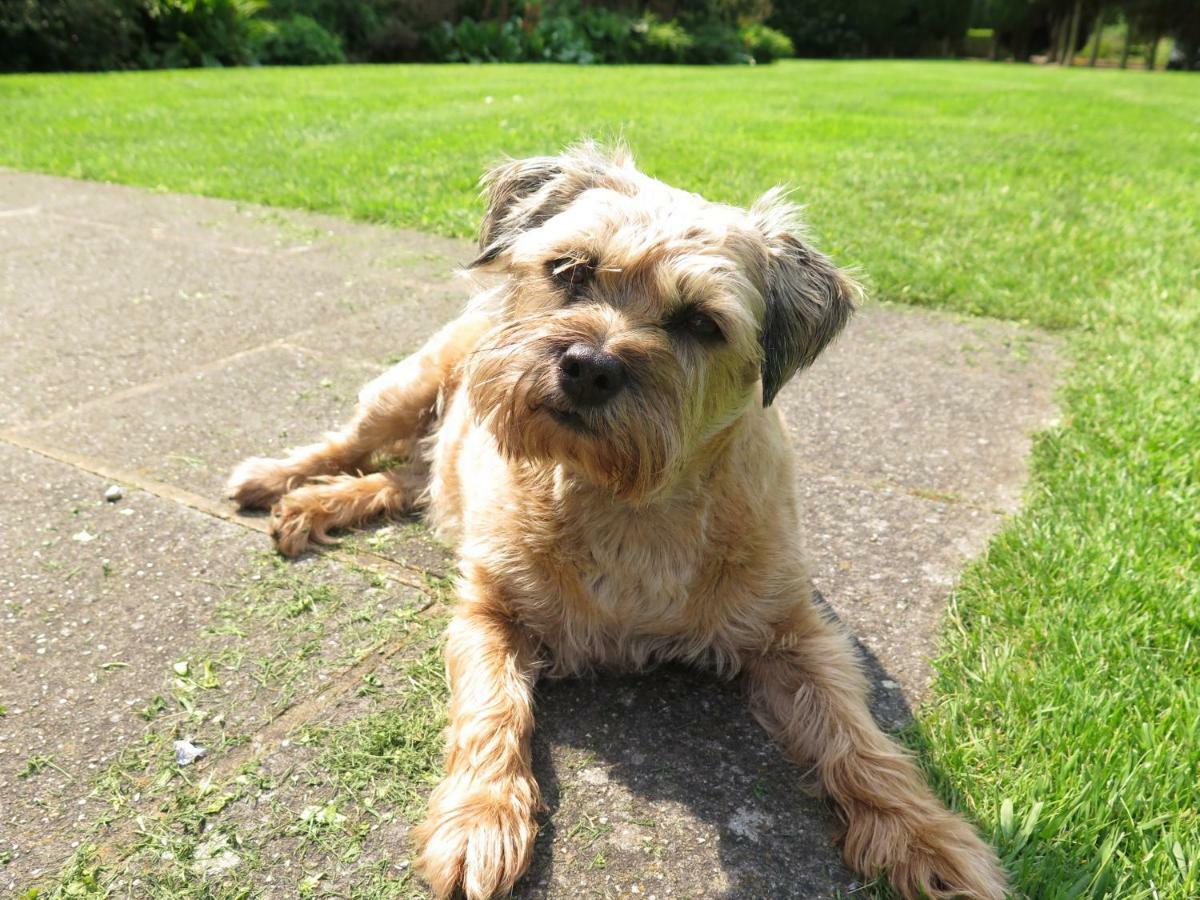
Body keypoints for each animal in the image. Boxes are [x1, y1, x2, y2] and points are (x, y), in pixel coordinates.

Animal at [229, 144, 1008, 897]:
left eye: (700, 322)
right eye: (569, 270)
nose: (588, 365)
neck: (628, 503)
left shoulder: (796, 635)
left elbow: (856, 734)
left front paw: (923, 835)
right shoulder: (486, 611)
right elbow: (491, 709)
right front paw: (481, 819)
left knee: (407, 479)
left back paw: (318, 504)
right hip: (410, 383)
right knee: (352, 444)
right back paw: (279, 483)